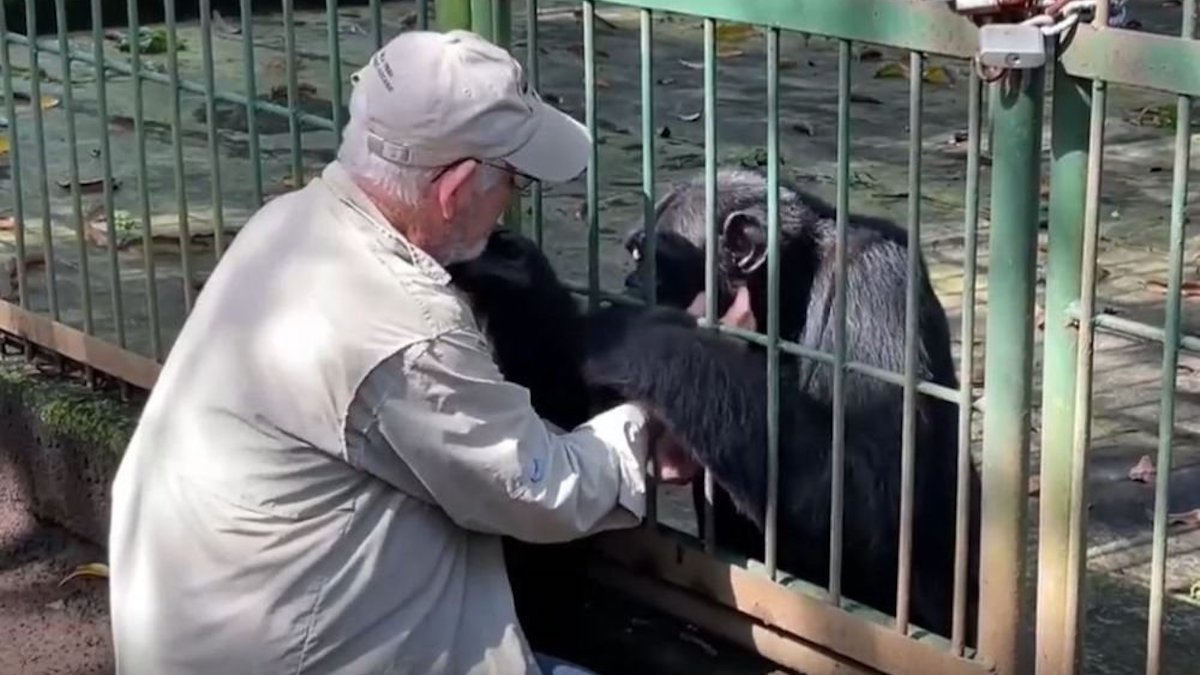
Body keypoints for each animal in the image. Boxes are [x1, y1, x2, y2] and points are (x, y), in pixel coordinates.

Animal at [619, 166, 984, 638]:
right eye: (634, 255)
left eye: (655, 263)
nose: (630, 282)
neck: (789, 287)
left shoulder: (876, 282)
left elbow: (875, 485)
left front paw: (651, 340)